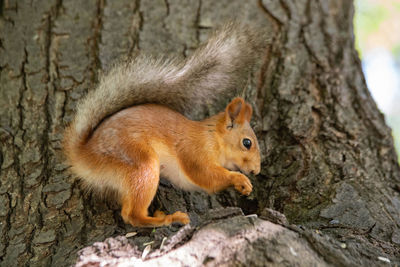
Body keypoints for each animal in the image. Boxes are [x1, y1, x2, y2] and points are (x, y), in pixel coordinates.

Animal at [64, 22, 264, 228]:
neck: (213, 137)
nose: (256, 171)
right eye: (247, 143)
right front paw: (239, 179)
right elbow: (205, 175)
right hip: (141, 164)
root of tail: (84, 155)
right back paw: (168, 219)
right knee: (131, 215)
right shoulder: (194, 151)